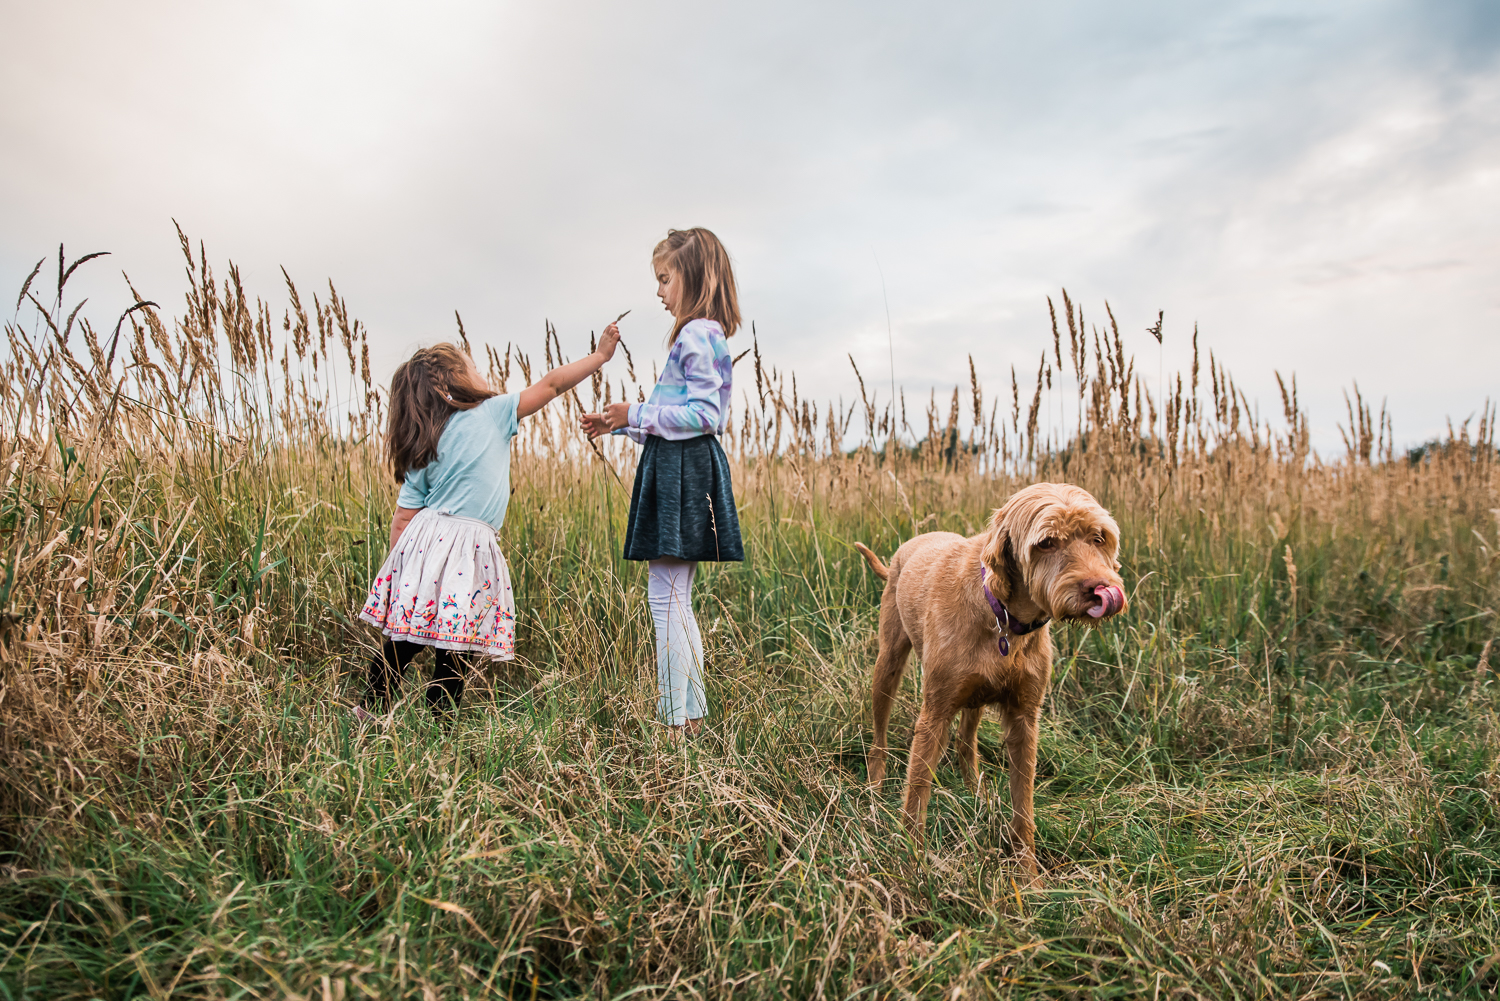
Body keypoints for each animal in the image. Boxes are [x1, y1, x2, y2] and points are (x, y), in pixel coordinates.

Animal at [858, 480, 1128, 882]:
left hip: (975, 696)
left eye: (1099, 538)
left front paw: (1028, 876)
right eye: (1046, 543)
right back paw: (875, 786)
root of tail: (912, 542)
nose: (1099, 589)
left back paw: (976, 793)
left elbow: (1023, 806)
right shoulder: (934, 715)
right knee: (880, 735)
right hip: (888, 663)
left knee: (966, 743)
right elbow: (916, 794)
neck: (1003, 617)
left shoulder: (1024, 719)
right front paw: (912, 861)